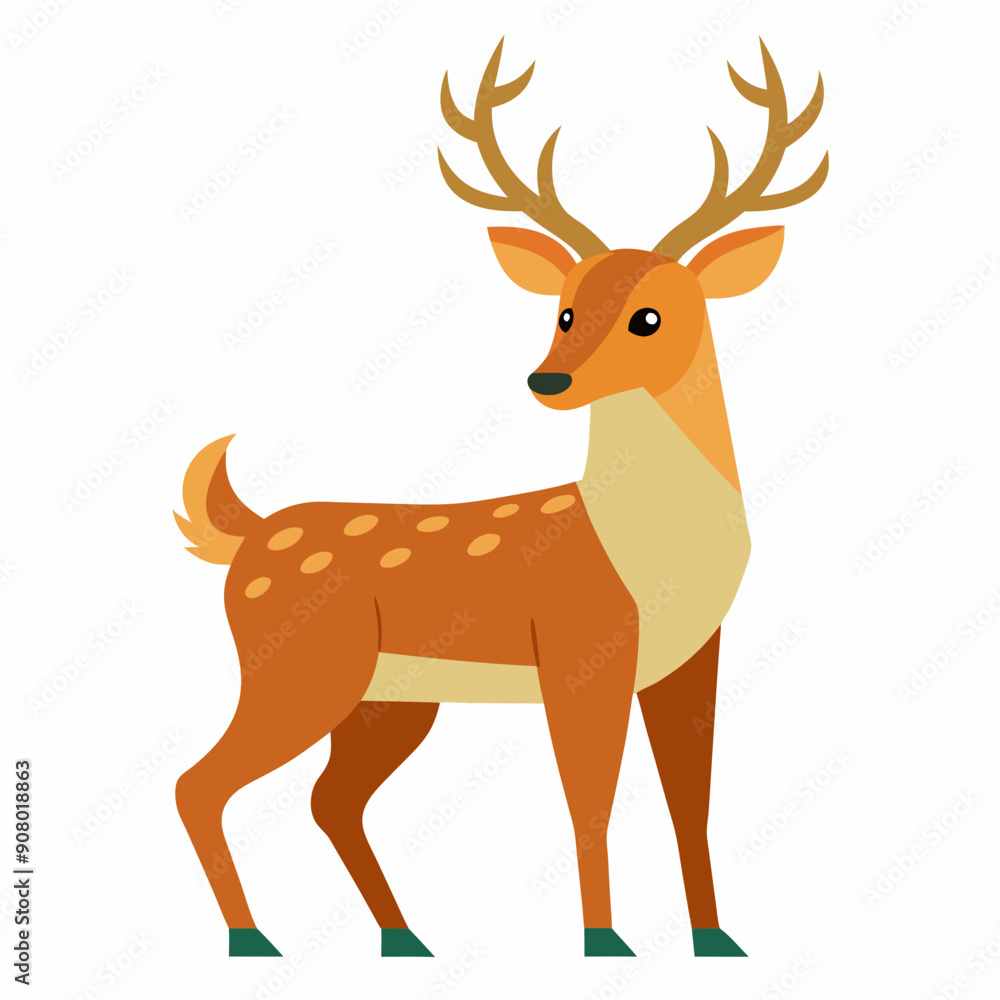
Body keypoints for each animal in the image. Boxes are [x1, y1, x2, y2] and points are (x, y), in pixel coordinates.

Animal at [174, 37, 827, 960]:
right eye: (563, 311)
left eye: (649, 317)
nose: (546, 381)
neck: (650, 553)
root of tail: (250, 535)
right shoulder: (579, 646)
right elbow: (589, 800)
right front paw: (603, 943)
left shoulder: (690, 658)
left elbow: (689, 805)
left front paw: (715, 941)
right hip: (296, 667)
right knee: (201, 783)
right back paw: (251, 940)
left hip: (389, 698)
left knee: (328, 800)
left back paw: (403, 938)